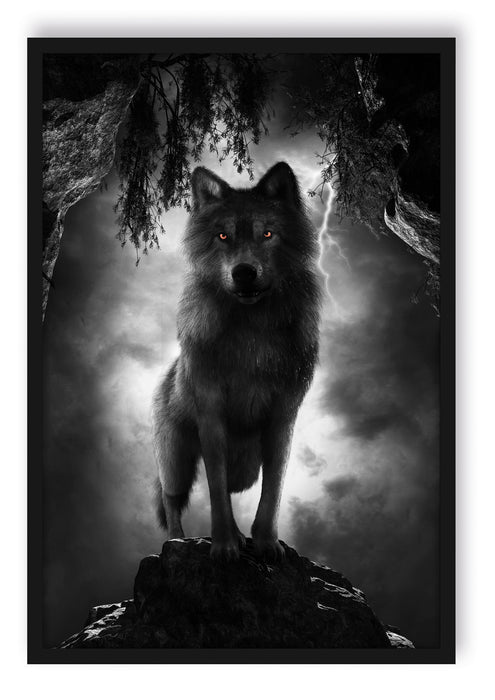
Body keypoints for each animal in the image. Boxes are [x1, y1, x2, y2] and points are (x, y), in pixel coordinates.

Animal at [152, 161, 321, 561]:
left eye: (268, 234)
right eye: (223, 236)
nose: (244, 272)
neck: (252, 333)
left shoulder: (282, 418)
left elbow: (273, 490)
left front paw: (266, 543)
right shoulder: (212, 416)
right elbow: (215, 490)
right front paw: (224, 545)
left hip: (244, 463)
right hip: (177, 460)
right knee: (171, 499)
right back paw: (176, 542)